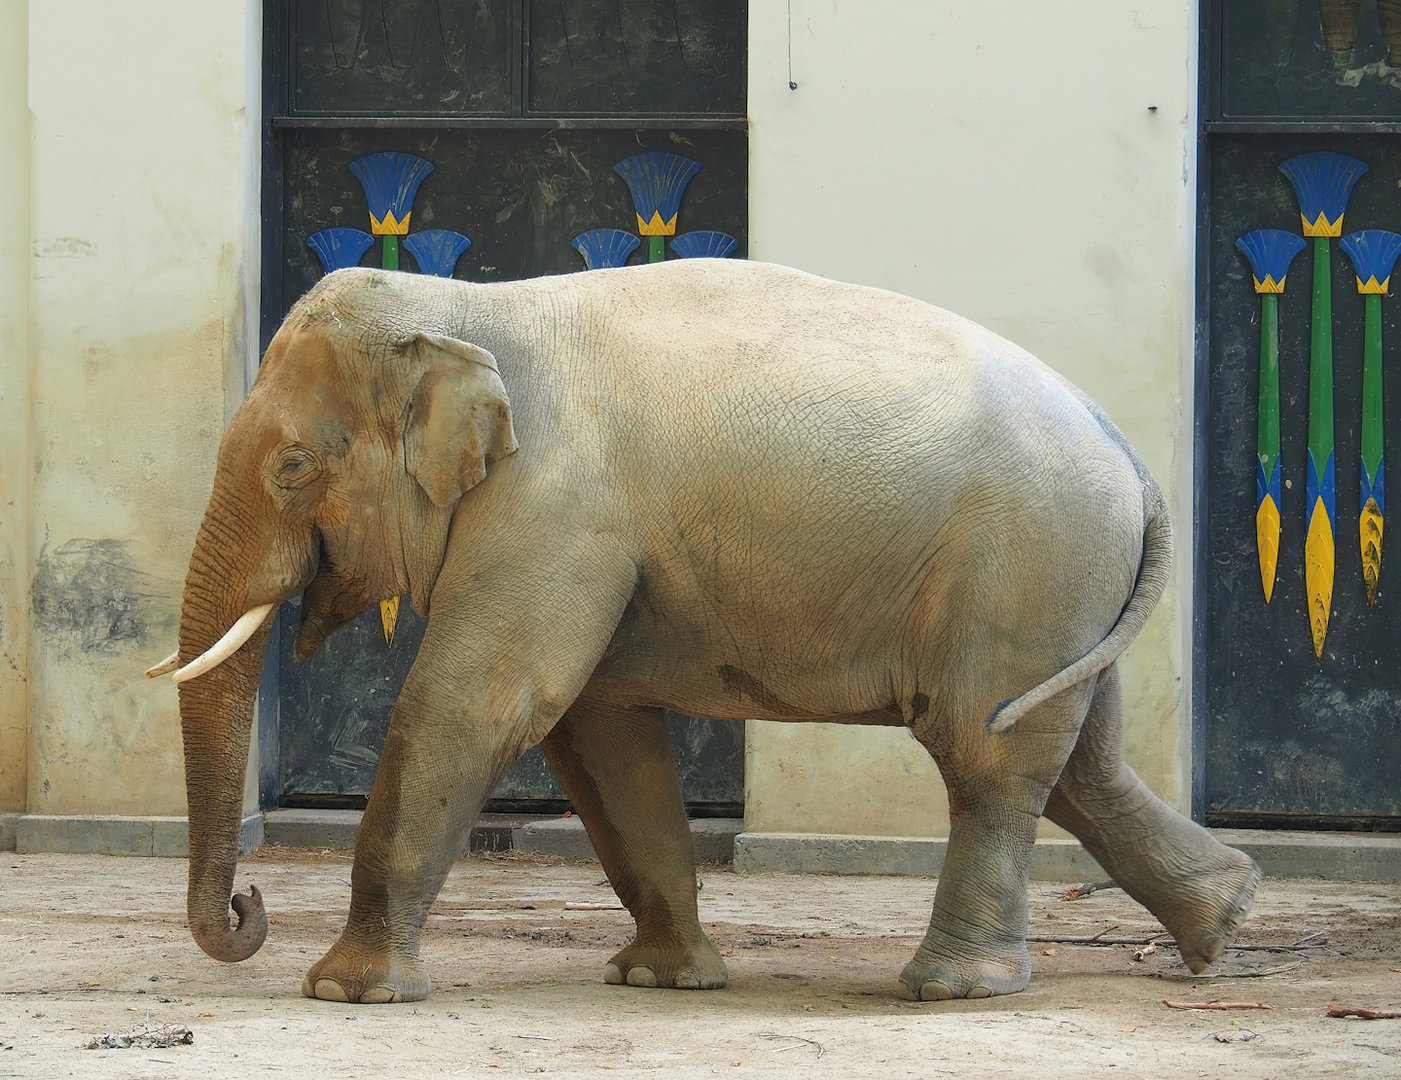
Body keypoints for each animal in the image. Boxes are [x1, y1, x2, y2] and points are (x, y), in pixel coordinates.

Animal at [154, 259, 1260, 1004]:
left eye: (292, 468)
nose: (250, 911)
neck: (473, 305)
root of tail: (1131, 456)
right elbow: (601, 732)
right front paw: (664, 979)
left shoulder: (554, 503)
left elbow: (482, 703)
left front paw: (345, 991)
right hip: (1067, 588)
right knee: (1079, 760)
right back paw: (1224, 924)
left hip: (1024, 566)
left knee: (984, 752)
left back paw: (949, 988)